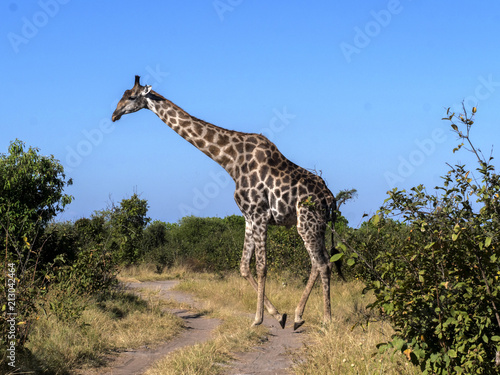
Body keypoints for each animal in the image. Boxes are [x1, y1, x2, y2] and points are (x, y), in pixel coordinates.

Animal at [112, 75, 342, 328]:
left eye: (132, 97)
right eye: (123, 95)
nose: (114, 114)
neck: (231, 160)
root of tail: (330, 198)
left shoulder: (259, 214)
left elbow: (261, 266)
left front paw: (258, 319)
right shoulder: (249, 217)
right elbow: (243, 267)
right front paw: (276, 314)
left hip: (309, 222)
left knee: (323, 263)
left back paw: (327, 320)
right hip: (315, 225)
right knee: (319, 262)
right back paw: (298, 316)